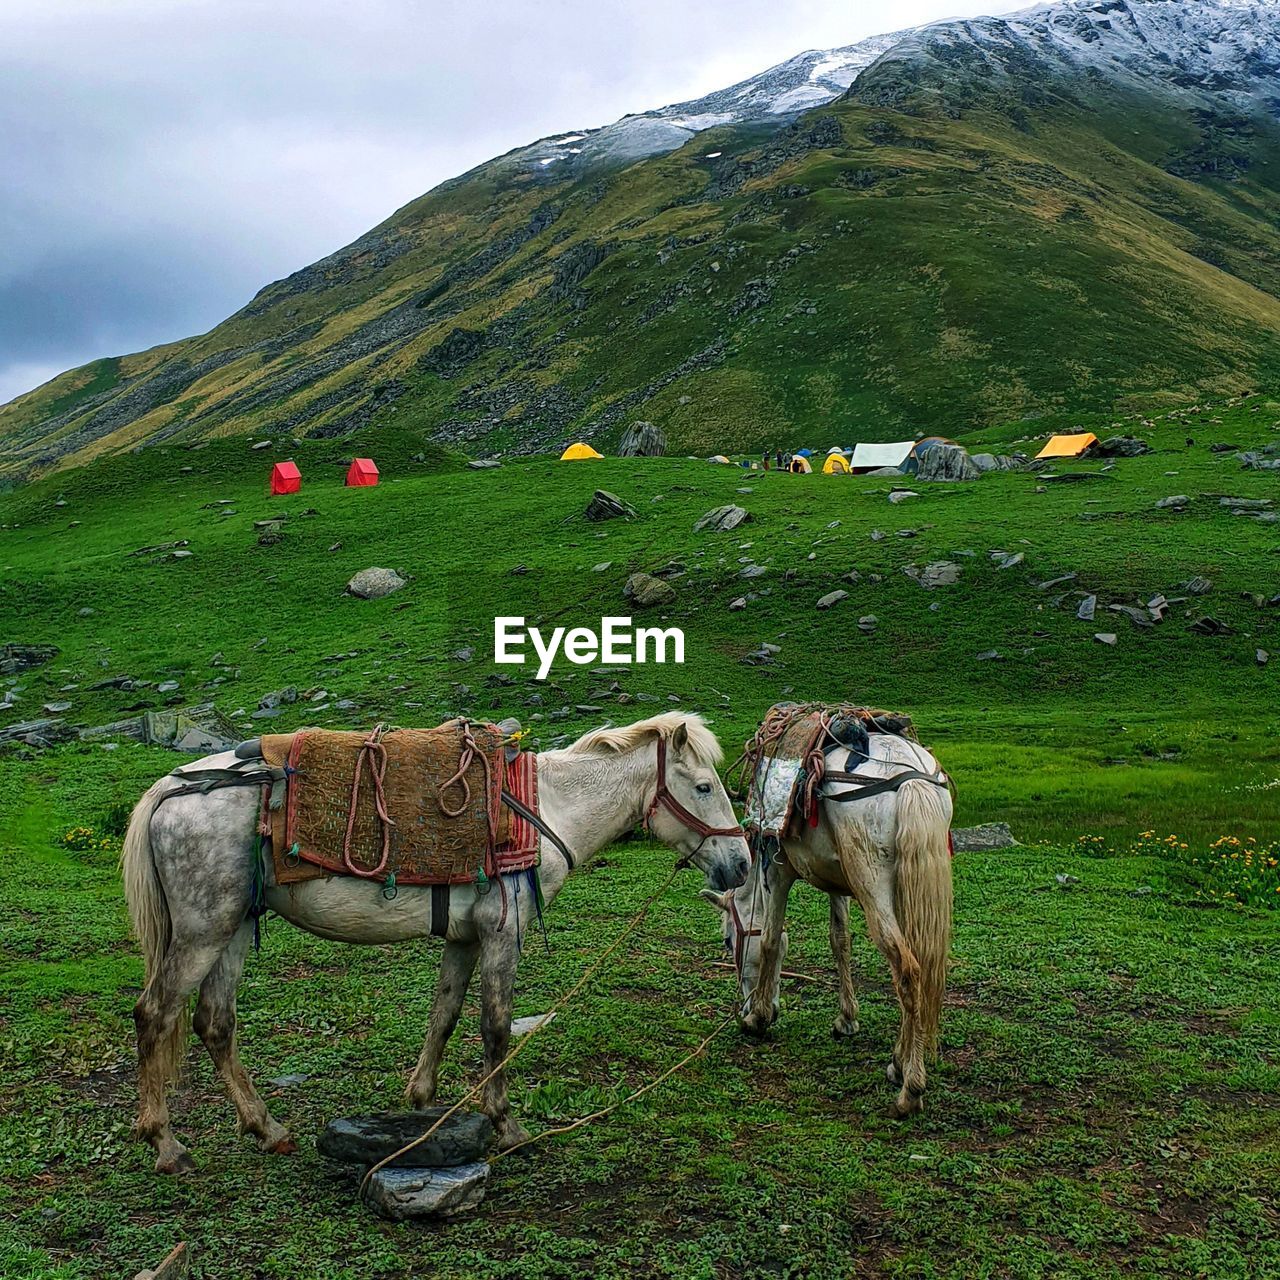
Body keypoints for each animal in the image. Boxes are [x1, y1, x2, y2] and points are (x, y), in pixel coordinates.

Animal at [122, 711, 747, 1172]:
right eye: (703, 787)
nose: (740, 864)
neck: (545, 810)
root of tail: (172, 788)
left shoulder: (466, 937)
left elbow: (444, 1014)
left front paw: (422, 1101)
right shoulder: (503, 931)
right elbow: (495, 1028)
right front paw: (506, 1124)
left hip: (232, 926)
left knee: (214, 1022)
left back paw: (266, 1128)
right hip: (203, 930)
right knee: (155, 1013)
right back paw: (166, 1145)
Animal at [701, 737, 952, 1116]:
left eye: (729, 942)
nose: (743, 1006)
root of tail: (909, 777)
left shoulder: (778, 869)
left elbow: (771, 938)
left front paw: (758, 1017)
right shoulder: (838, 880)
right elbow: (840, 940)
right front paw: (846, 1020)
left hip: (873, 885)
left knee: (907, 970)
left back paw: (911, 1088)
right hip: (906, 887)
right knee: (918, 966)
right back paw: (899, 1061)